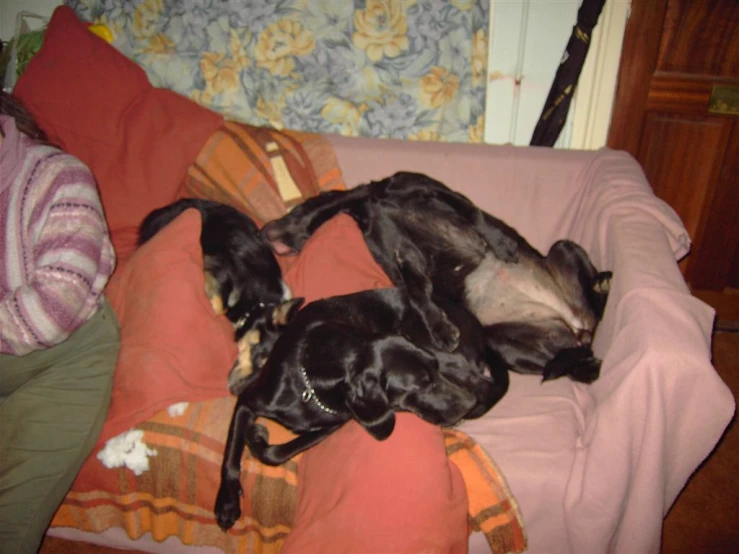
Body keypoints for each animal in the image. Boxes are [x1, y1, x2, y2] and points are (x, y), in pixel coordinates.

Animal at [214, 286, 508, 528]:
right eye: (421, 385)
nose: (467, 404)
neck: (310, 382)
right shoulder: (249, 401)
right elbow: (233, 453)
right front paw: (227, 502)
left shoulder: (333, 424)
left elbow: (275, 452)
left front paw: (257, 437)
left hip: (441, 349)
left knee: (482, 385)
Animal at [264, 170, 608, 382]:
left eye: (296, 209)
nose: (265, 230)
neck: (370, 201)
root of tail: (575, 327)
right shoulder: (402, 256)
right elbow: (417, 291)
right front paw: (440, 327)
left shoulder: (433, 189)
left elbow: (476, 215)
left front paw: (501, 243)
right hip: (503, 340)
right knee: (572, 362)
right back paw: (584, 362)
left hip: (565, 247)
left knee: (595, 310)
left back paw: (603, 286)